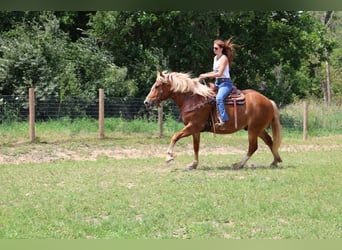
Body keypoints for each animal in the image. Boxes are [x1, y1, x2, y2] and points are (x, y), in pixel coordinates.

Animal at [143, 71, 282, 171]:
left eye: (157, 86)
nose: (146, 102)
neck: (192, 99)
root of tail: (268, 101)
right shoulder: (195, 130)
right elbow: (196, 147)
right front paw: (193, 165)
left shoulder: (193, 126)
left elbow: (175, 136)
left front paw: (169, 157)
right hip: (257, 129)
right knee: (269, 141)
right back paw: (275, 161)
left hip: (253, 130)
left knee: (253, 147)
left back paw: (239, 164)